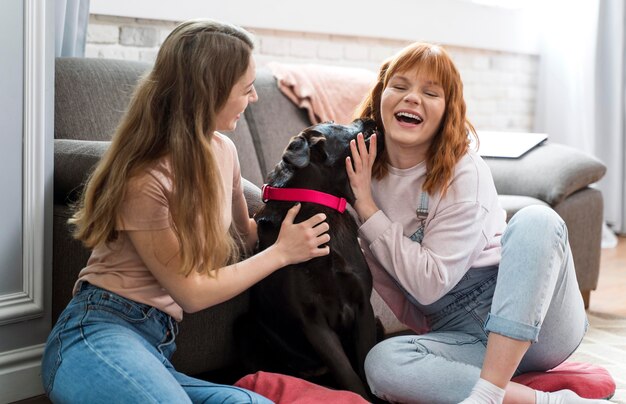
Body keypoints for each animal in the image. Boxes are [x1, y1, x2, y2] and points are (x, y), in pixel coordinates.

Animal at [236, 118, 378, 400]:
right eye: (336, 124)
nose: (369, 119)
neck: (320, 210)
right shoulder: (312, 320)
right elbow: (349, 375)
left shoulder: (363, 306)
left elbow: (365, 365)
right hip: (245, 330)